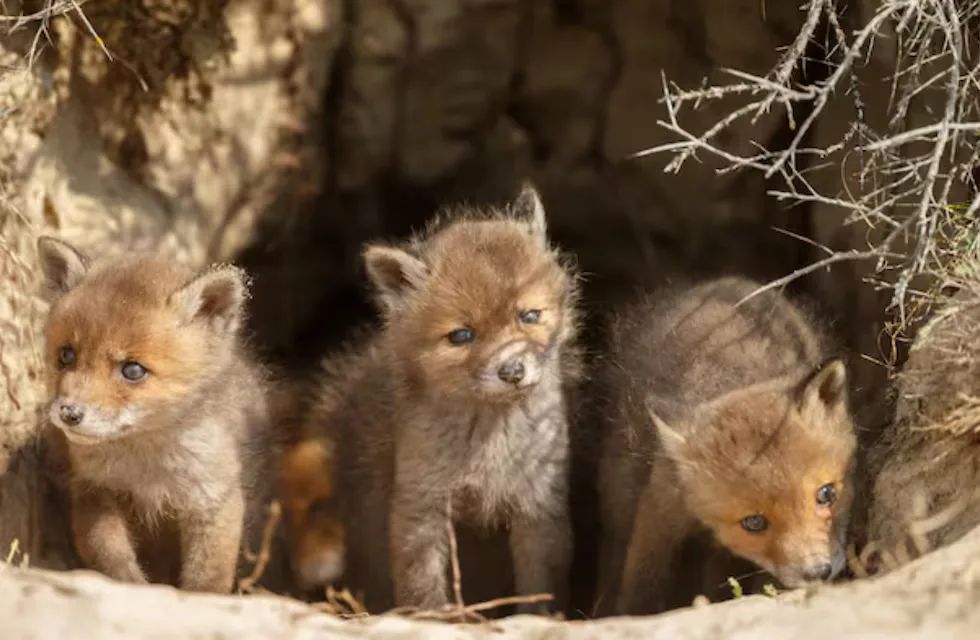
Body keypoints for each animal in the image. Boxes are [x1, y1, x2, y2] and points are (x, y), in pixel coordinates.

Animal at [36, 236, 278, 596]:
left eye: (133, 370)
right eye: (66, 355)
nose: (69, 413)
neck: (147, 466)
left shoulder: (214, 499)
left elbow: (207, 578)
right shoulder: (95, 490)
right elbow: (111, 558)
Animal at [310, 182, 580, 612]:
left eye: (529, 316)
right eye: (461, 336)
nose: (512, 372)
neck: (489, 445)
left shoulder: (538, 506)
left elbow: (540, 585)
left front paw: (540, 617)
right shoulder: (421, 506)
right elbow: (422, 584)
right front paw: (435, 617)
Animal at [592, 278, 852, 616]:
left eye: (827, 494)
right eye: (753, 522)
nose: (817, 571)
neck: (735, 380)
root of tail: (721, 282)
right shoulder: (661, 504)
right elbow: (643, 578)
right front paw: (635, 613)